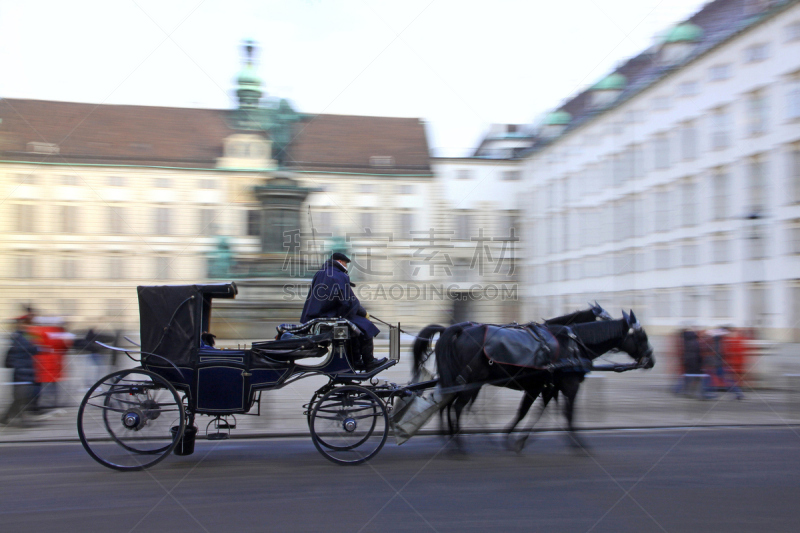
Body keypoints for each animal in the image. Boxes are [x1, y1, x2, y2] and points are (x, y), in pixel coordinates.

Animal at [416, 308, 652, 448]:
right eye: (642, 336)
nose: (651, 359)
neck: (570, 344)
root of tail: (457, 330)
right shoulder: (566, 385)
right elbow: (565, 412)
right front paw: (577, 442)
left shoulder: (545, 386)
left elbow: (532, 412)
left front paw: (515, 438)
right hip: (470, 382)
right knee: (456, 407)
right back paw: (458, 444)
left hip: (464, 382)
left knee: (450, 405)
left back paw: (452, 438)